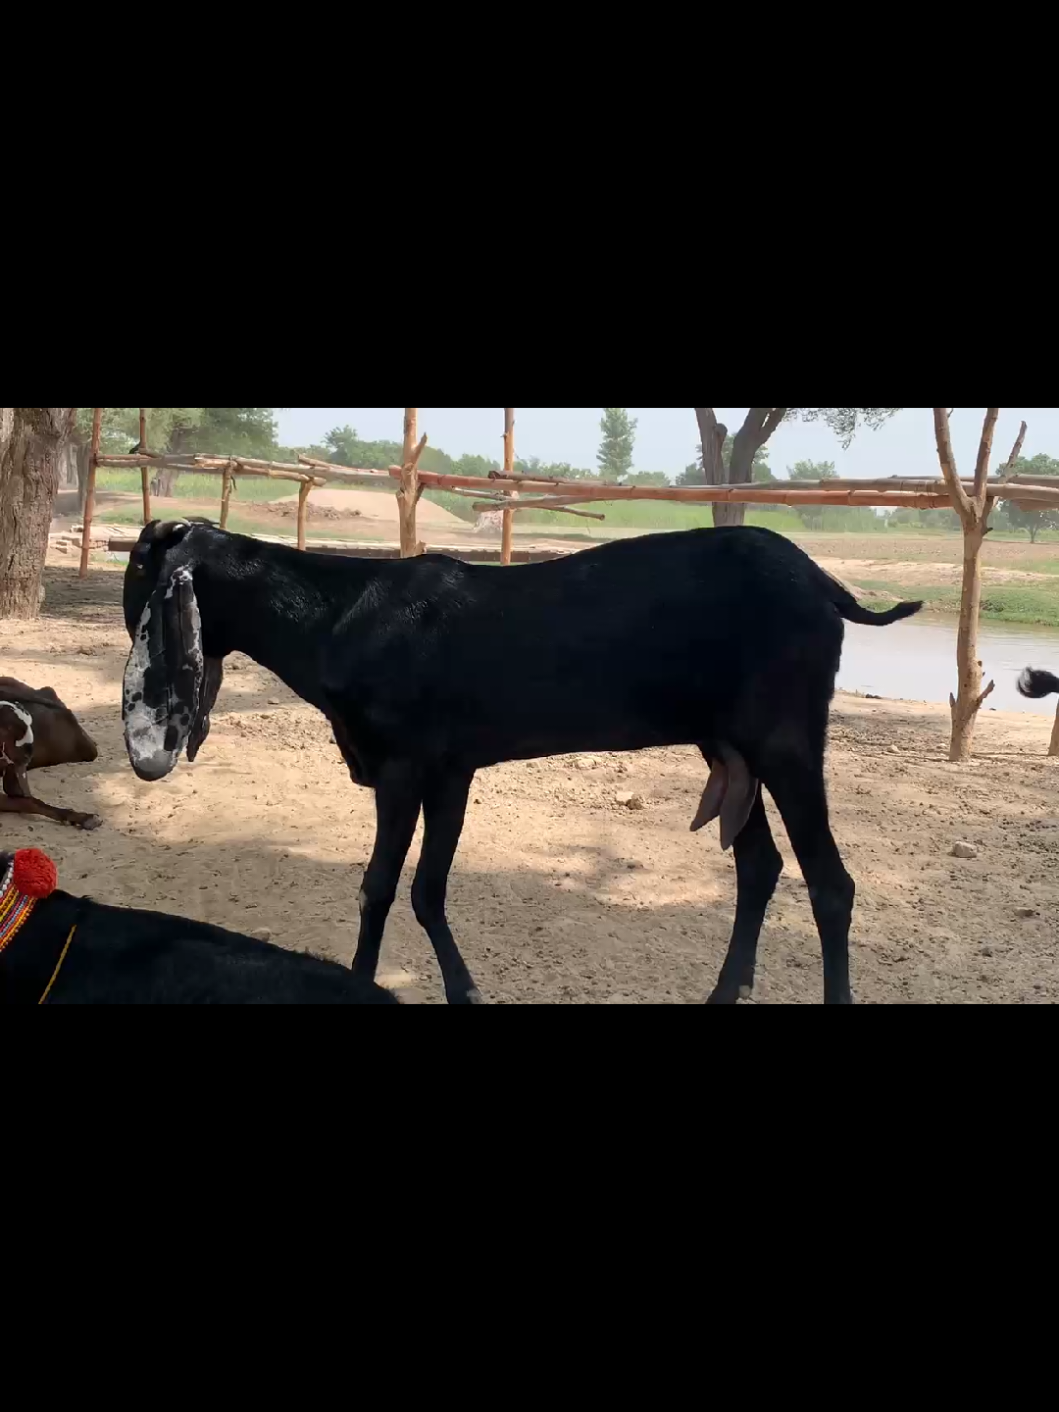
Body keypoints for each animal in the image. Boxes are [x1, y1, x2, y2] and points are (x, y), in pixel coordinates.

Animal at [121, 520, 922, 1005]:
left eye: (138, 564)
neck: (335, 615)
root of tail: (823, 583)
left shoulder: (403, 767)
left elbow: (379, 888)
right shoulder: (450, 770)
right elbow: (427, 891)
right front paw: (463, 990)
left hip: (785, 740)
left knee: (831, 885)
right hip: (729, 746)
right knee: (759, 865)